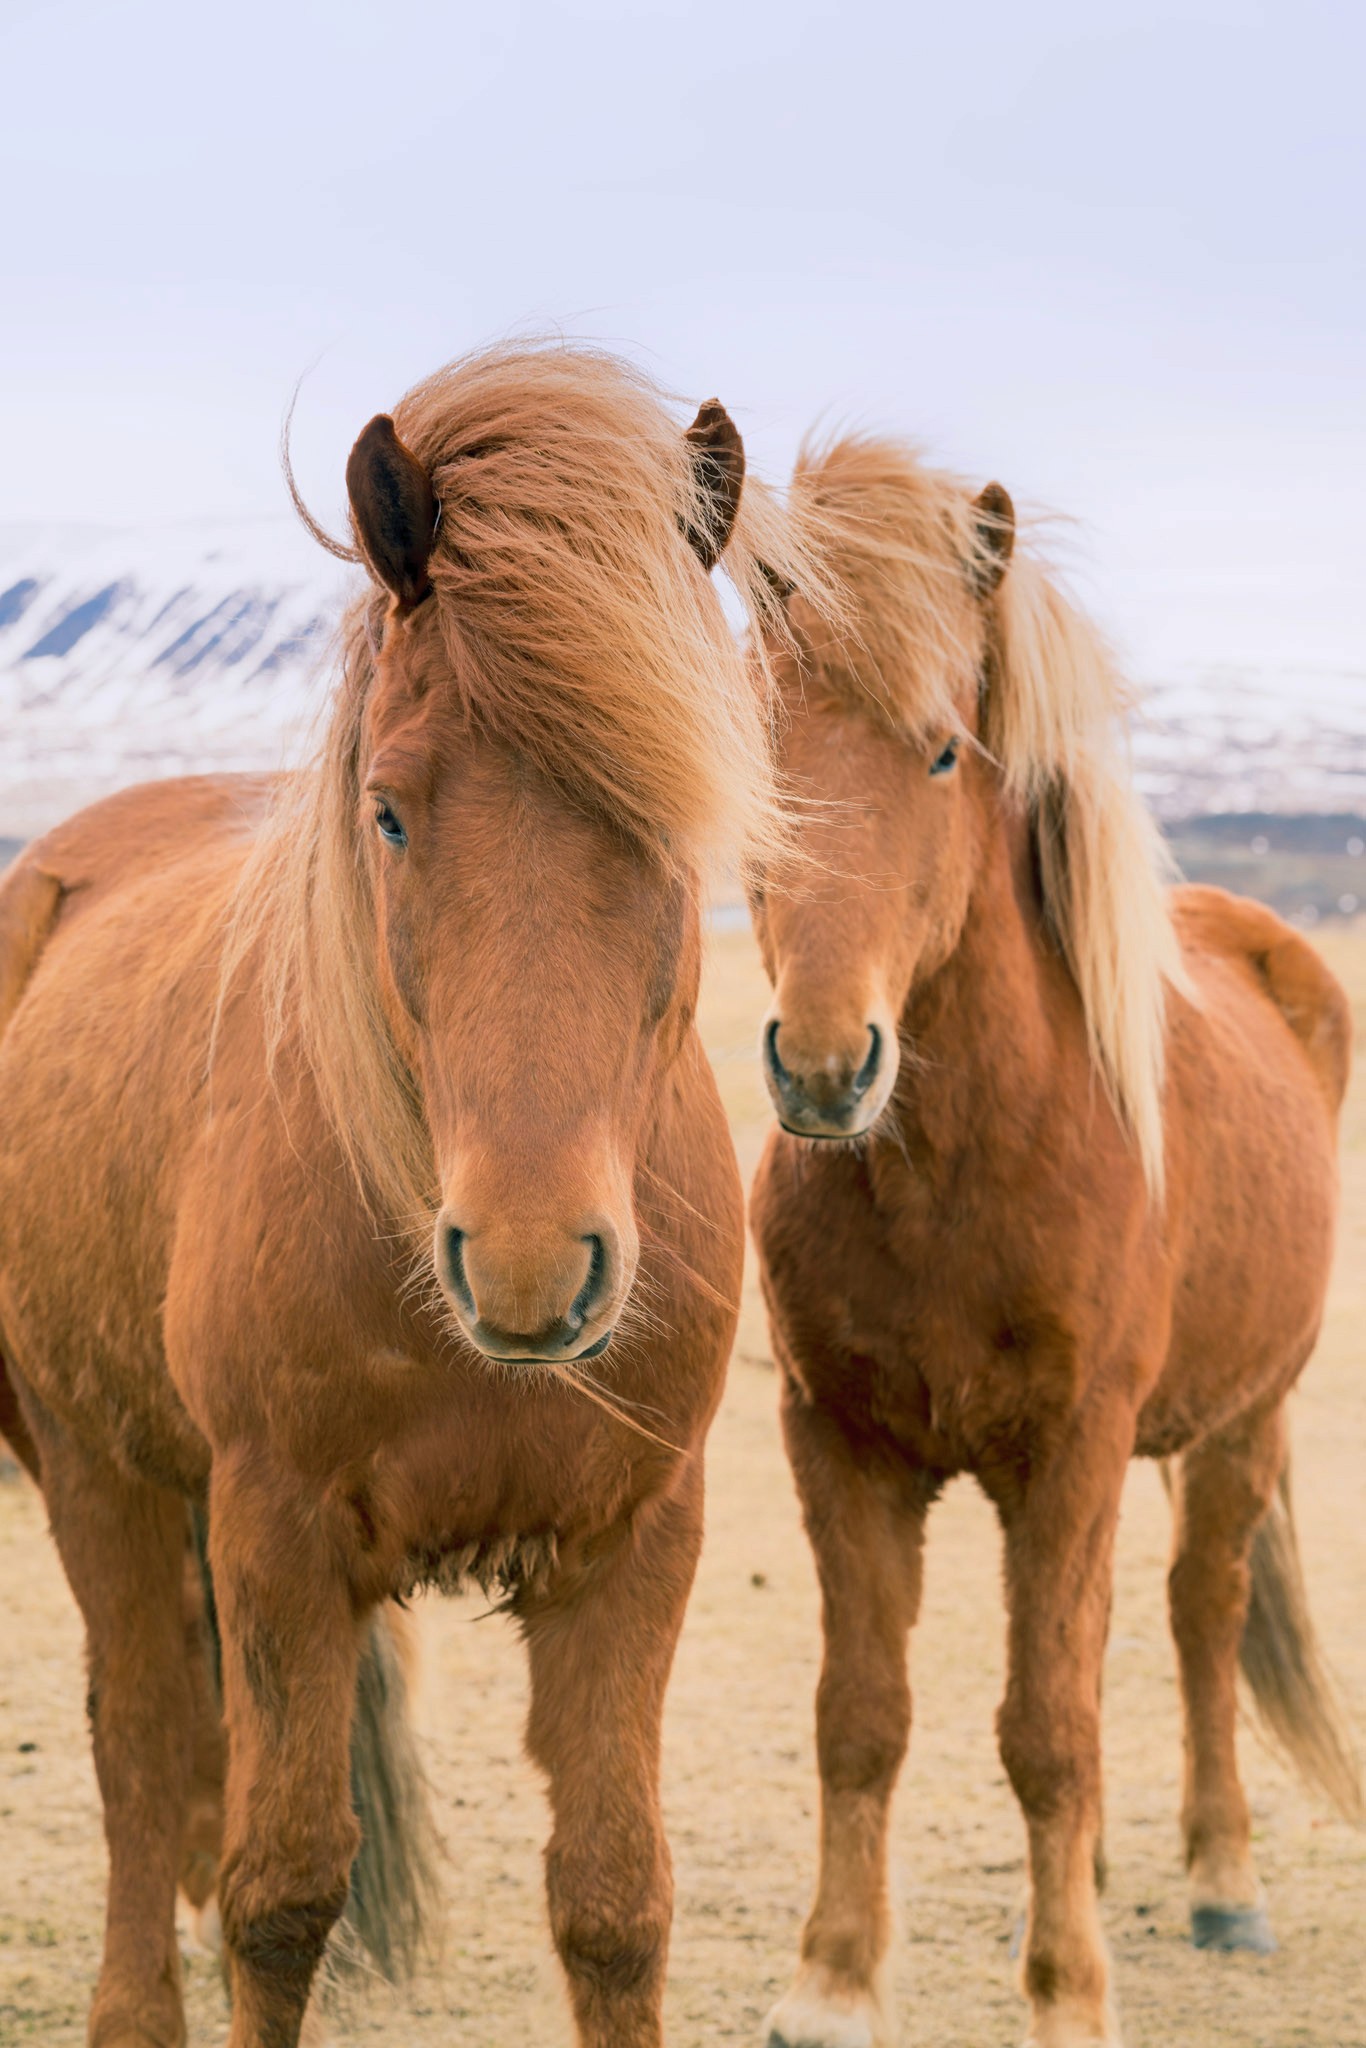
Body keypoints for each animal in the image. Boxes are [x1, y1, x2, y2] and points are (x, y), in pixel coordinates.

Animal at [0, 348, 806, 2048]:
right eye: (388, 810)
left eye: (677, 818)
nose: (526, 1266)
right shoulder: (278, 1533)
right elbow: (282, 1891)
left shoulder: (638, 1543)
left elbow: (615, 1902)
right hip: (100, 1469)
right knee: (139, 1743)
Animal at [753, 436, 1359, 2048]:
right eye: (757, 752)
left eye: (941, 751)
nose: (823, 1066)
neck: (966, 1172)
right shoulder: (837, 1442)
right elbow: (858, 1717)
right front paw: (830, 1982)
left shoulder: (1075, 1449)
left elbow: (1050, 1731)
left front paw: (1068, 1996)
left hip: (1241, 1424)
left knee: (1200, 1617)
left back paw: (1221, 1881)